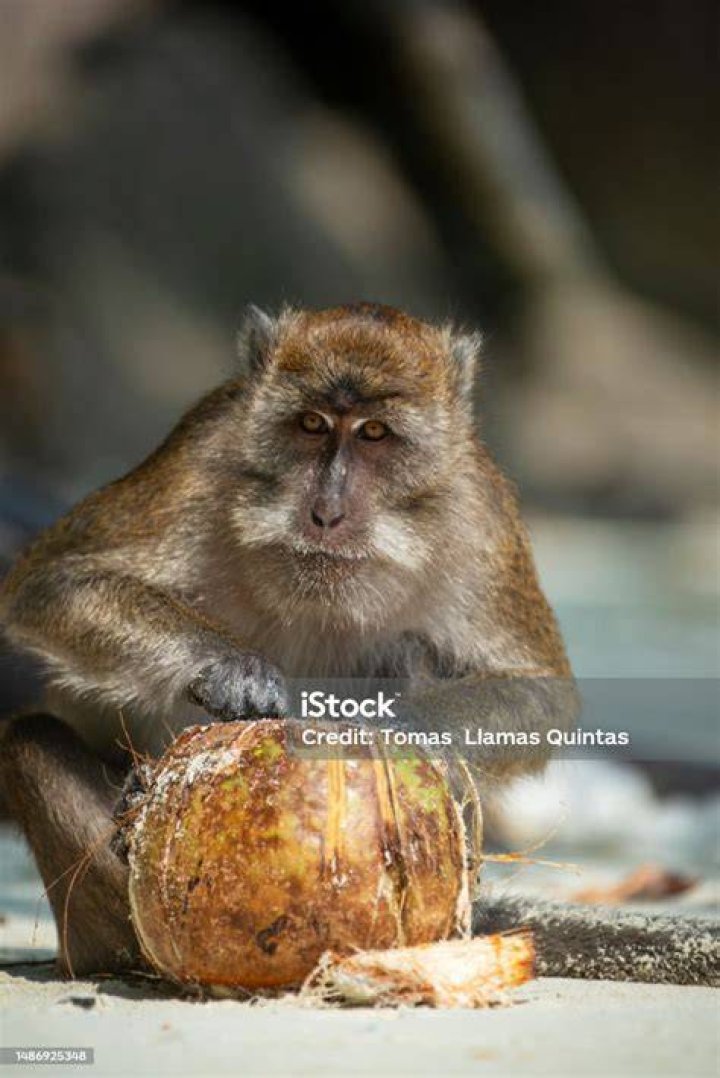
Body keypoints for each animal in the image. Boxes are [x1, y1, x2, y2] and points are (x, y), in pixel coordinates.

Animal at [0, 302, 716, 984]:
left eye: (374, 433)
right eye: (312, 424)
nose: (326, 512)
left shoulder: (478, 509)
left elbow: (539, 694)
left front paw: (398, 725)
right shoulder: (203, 451)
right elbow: (53, 582)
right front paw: (231, 668)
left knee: (412, 651)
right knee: (31, 740)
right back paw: (118, 927)